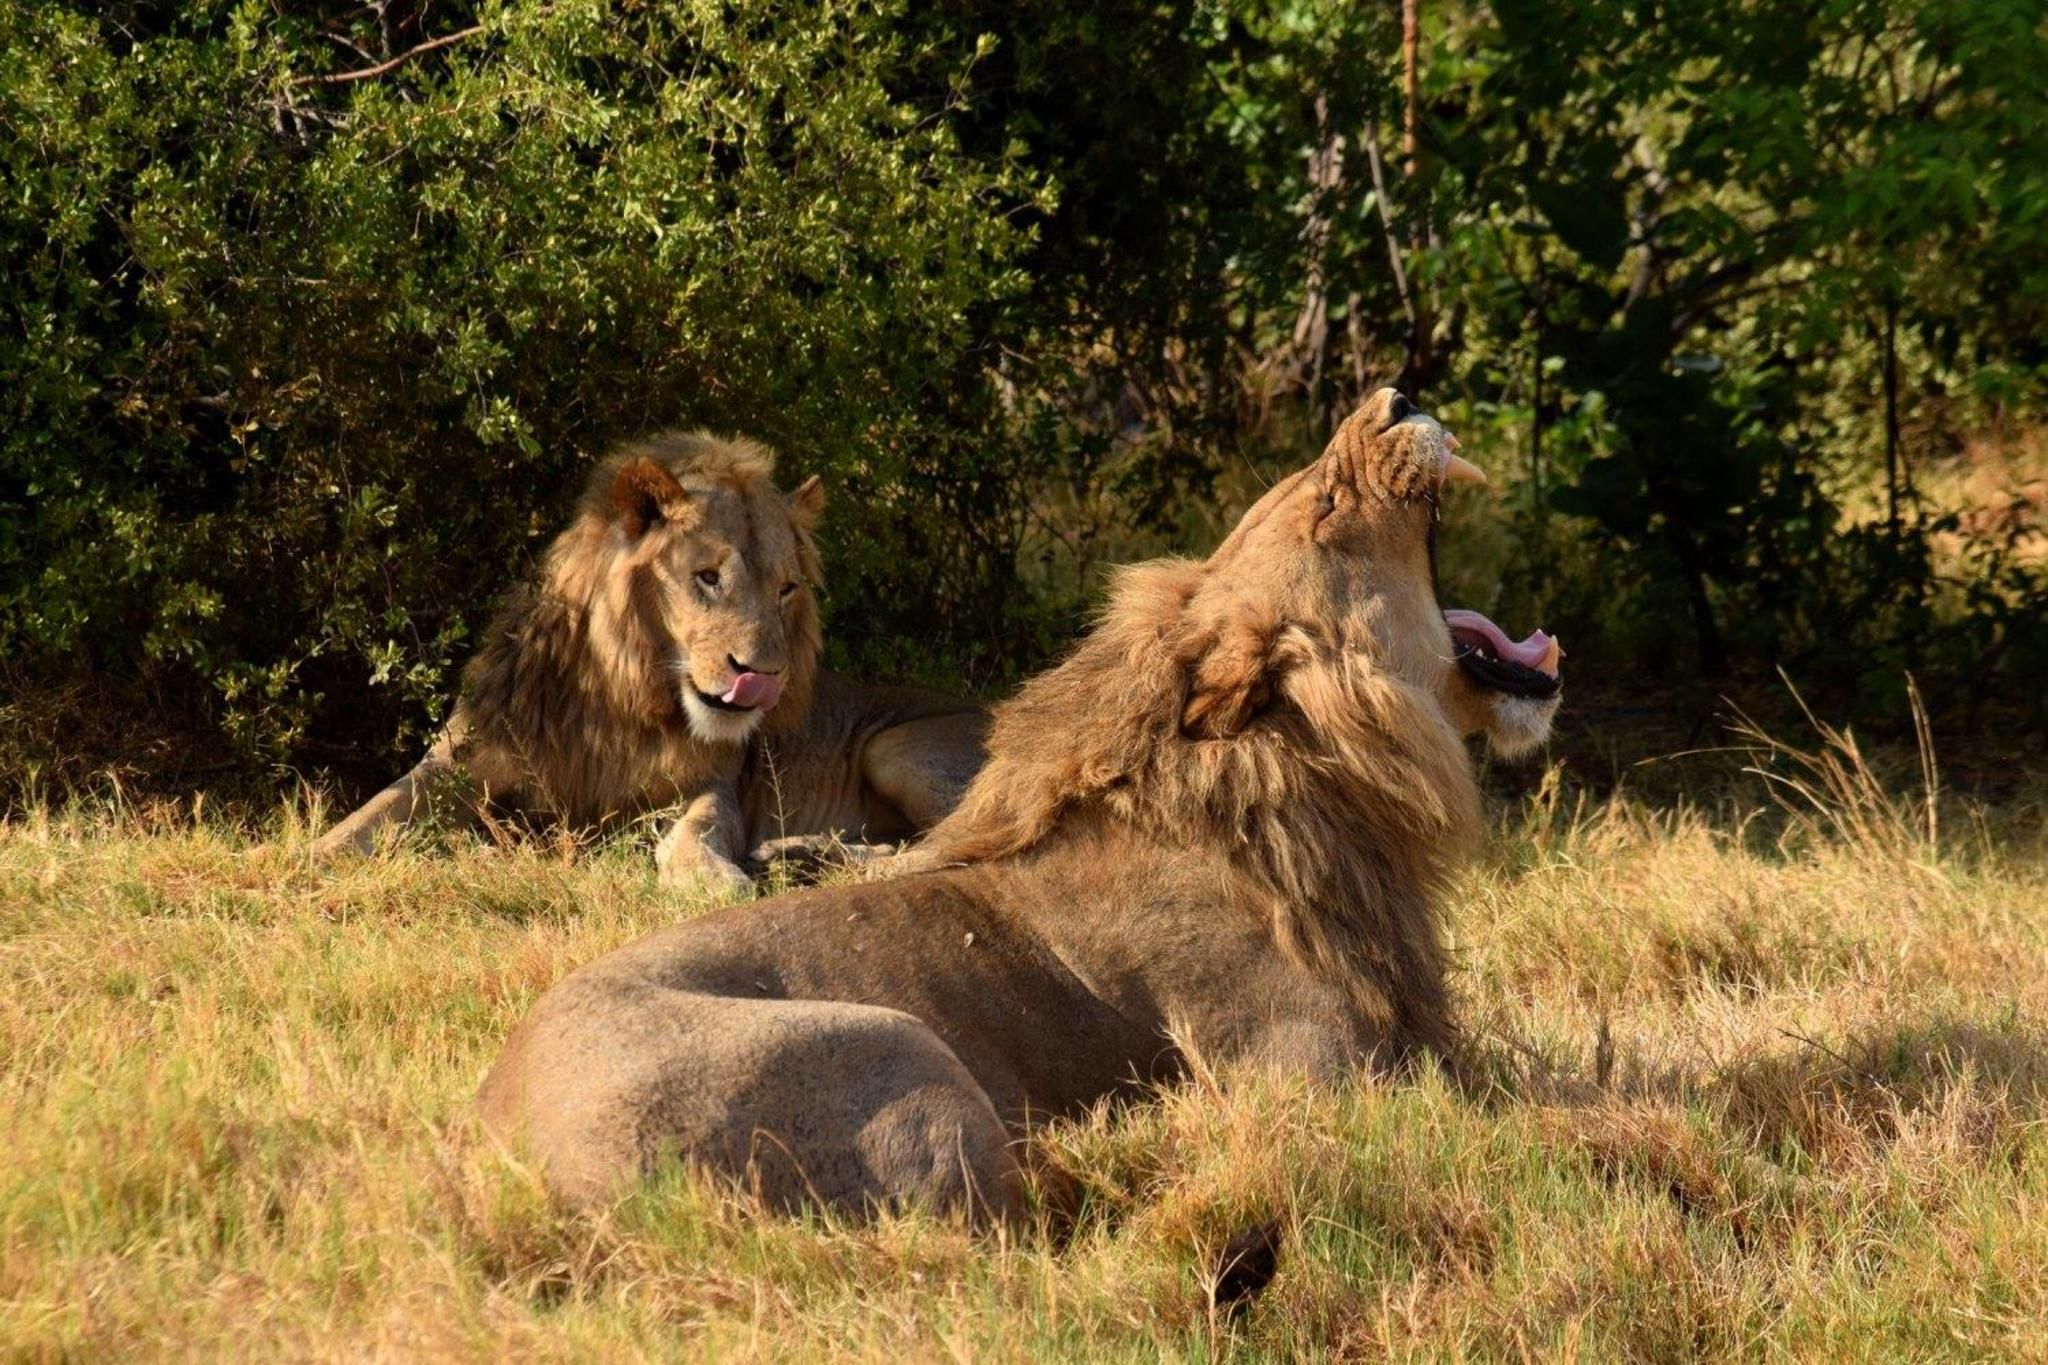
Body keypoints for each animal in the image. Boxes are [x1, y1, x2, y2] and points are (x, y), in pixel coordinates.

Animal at [312, 432, 988, 888]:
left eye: (786, 589)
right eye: (707, 576)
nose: (766, 679)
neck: (622, 690)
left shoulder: (711, 781)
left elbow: (701, 828)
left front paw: (714, 877)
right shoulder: (461, 755)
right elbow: (375, 811)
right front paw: (295, 859)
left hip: (891, 747)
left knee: (945, 845)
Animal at [477, 390, 1563, 1218]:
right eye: (1331, 499)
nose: (1395, 399)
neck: (1327, 785)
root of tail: (500, 1155)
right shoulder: (1318, 1076)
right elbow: (1531, 1121)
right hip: (897, 1047)